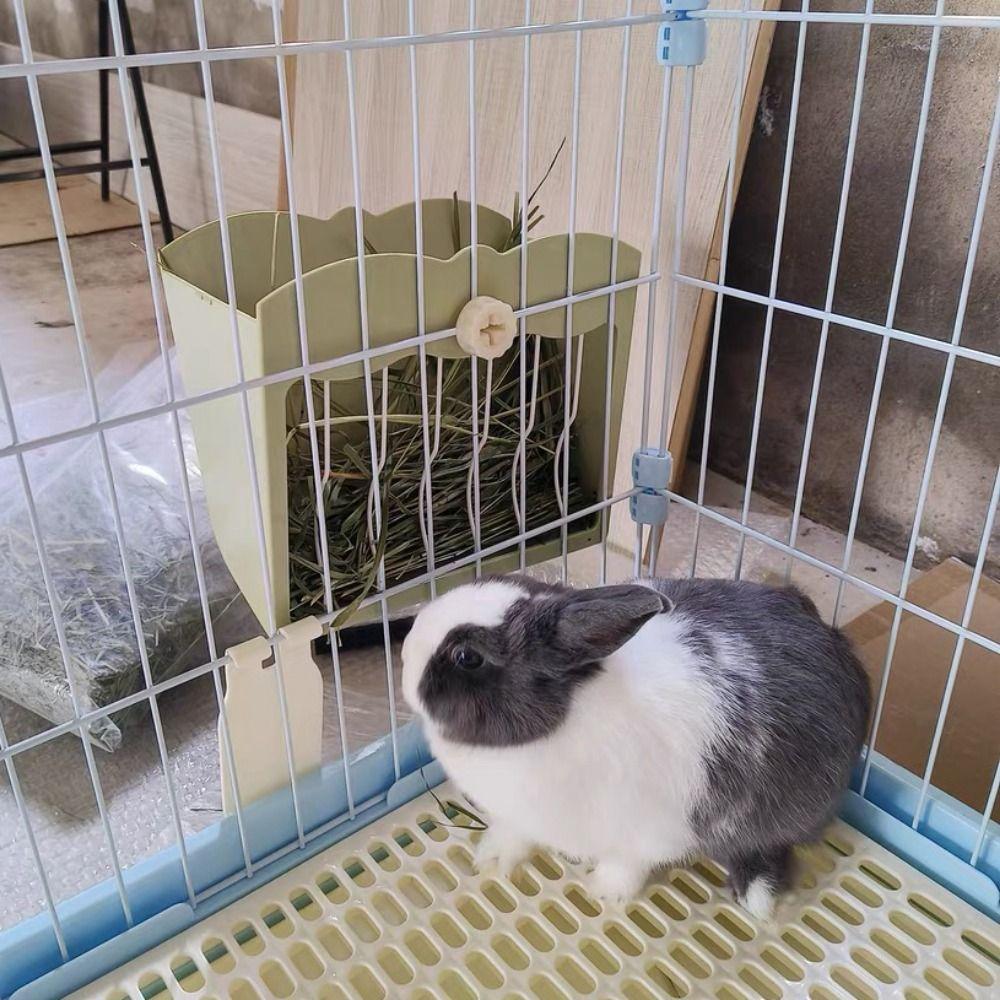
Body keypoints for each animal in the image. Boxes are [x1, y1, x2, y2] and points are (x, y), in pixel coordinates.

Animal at [401, 573, 871, 921]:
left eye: (467, 656)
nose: (404, 653)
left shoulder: (649, 831)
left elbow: (626, 864)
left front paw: (603, 895)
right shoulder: (520, 815)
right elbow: (513, 834)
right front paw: (491, 860)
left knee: (770, 846)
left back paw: (755, 891)